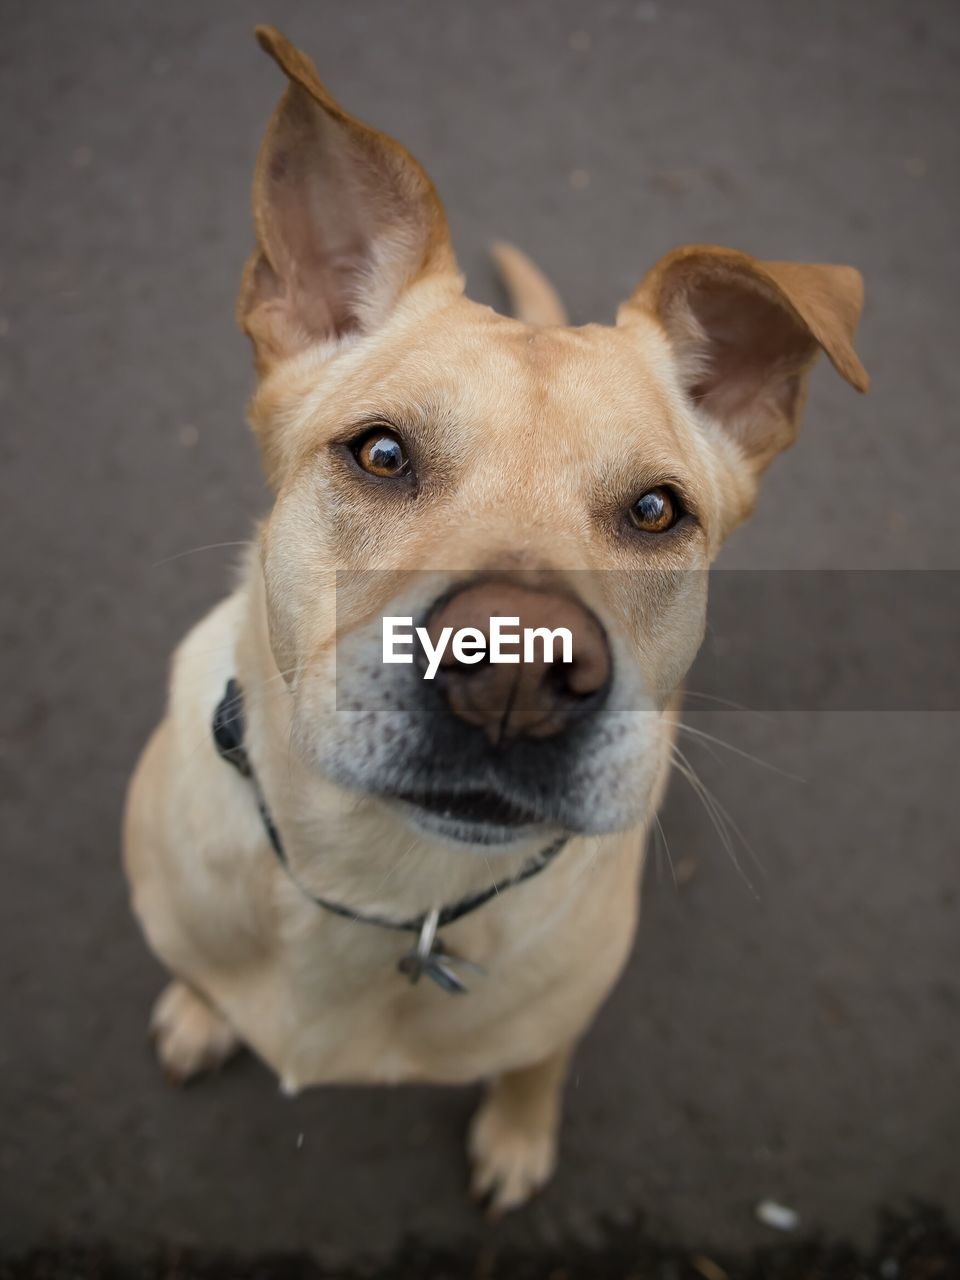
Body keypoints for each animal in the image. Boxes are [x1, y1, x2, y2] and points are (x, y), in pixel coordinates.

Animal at [122, 24, 870, 1213]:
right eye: (382, 453)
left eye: (656, 510)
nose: (517, 669)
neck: (378, 890)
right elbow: (201, 966)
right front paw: (202, 1007)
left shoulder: (556, 1020)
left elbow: (536, 1066)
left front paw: (519, 1134)